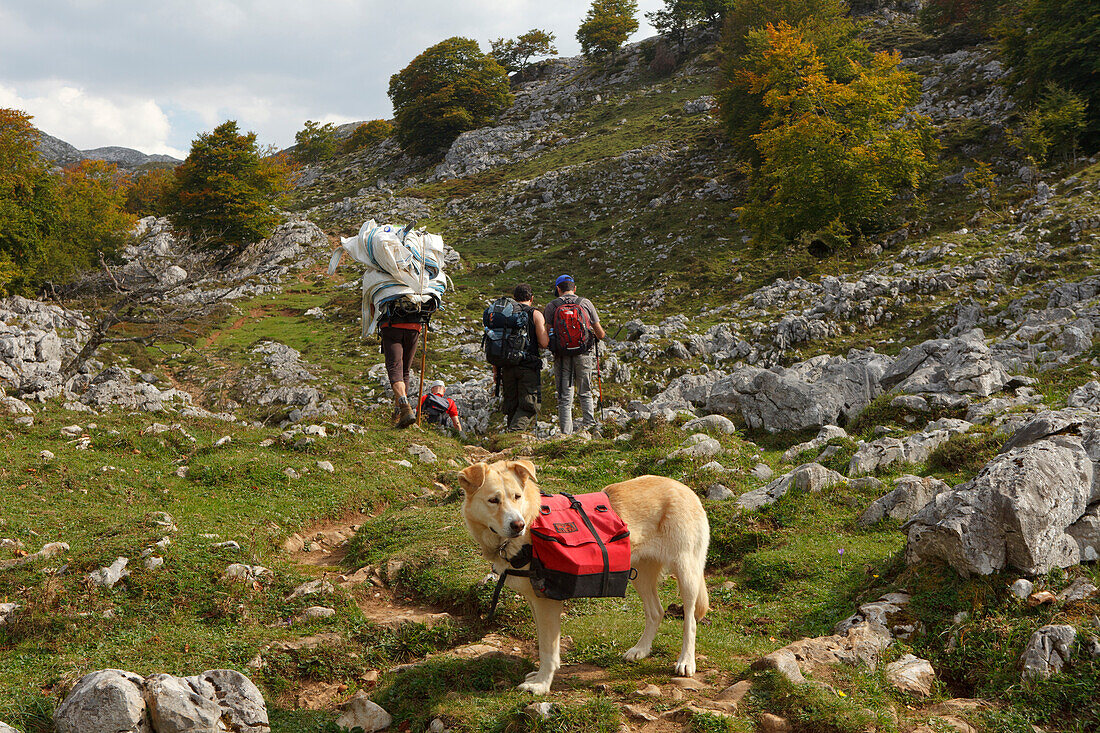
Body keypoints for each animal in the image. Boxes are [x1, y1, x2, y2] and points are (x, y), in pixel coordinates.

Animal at [457, 457, 708, 691]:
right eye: (493, 500)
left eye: (517, 496)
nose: (518, 525)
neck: (530, 526)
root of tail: (683, 487)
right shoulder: (534, 599)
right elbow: (543, 642)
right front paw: (540, 676)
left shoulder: (548, 602)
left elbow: (548, 649)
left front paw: (541, 684)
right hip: (642, 575)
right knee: (656, 612)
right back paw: (641, 649)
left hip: (686, 572)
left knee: (690, 621)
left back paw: (686, 661)